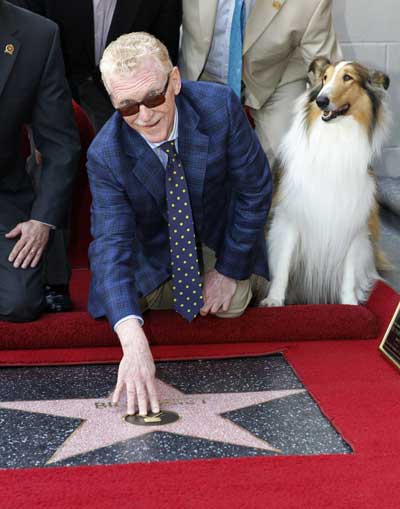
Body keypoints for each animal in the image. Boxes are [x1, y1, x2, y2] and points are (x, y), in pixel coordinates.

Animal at [260, 59, 390, 306]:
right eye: (324, 78)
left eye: (347, 77)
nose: (321, 101)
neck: (334, 137)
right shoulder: (289, 216)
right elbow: (282, 262)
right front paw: (274, 300)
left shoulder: (353, 221)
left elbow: (349, 273)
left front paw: (350, 305)